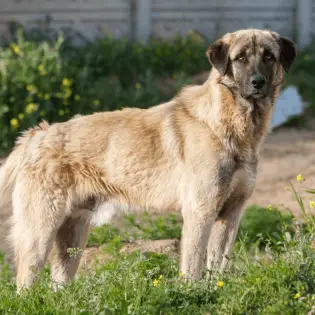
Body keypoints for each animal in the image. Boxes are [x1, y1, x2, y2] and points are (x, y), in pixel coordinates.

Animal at [0, 28, 298, 292]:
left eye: (269, 56)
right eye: (240, 58)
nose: (258, 82)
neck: (228, 123)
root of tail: (36, 134)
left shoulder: (230, 215)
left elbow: (218, 267)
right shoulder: (200, 212)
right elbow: (193, 267)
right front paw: (193, 294)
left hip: (72, 239)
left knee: (57, 287)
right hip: (39, 233)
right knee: (24, 286)